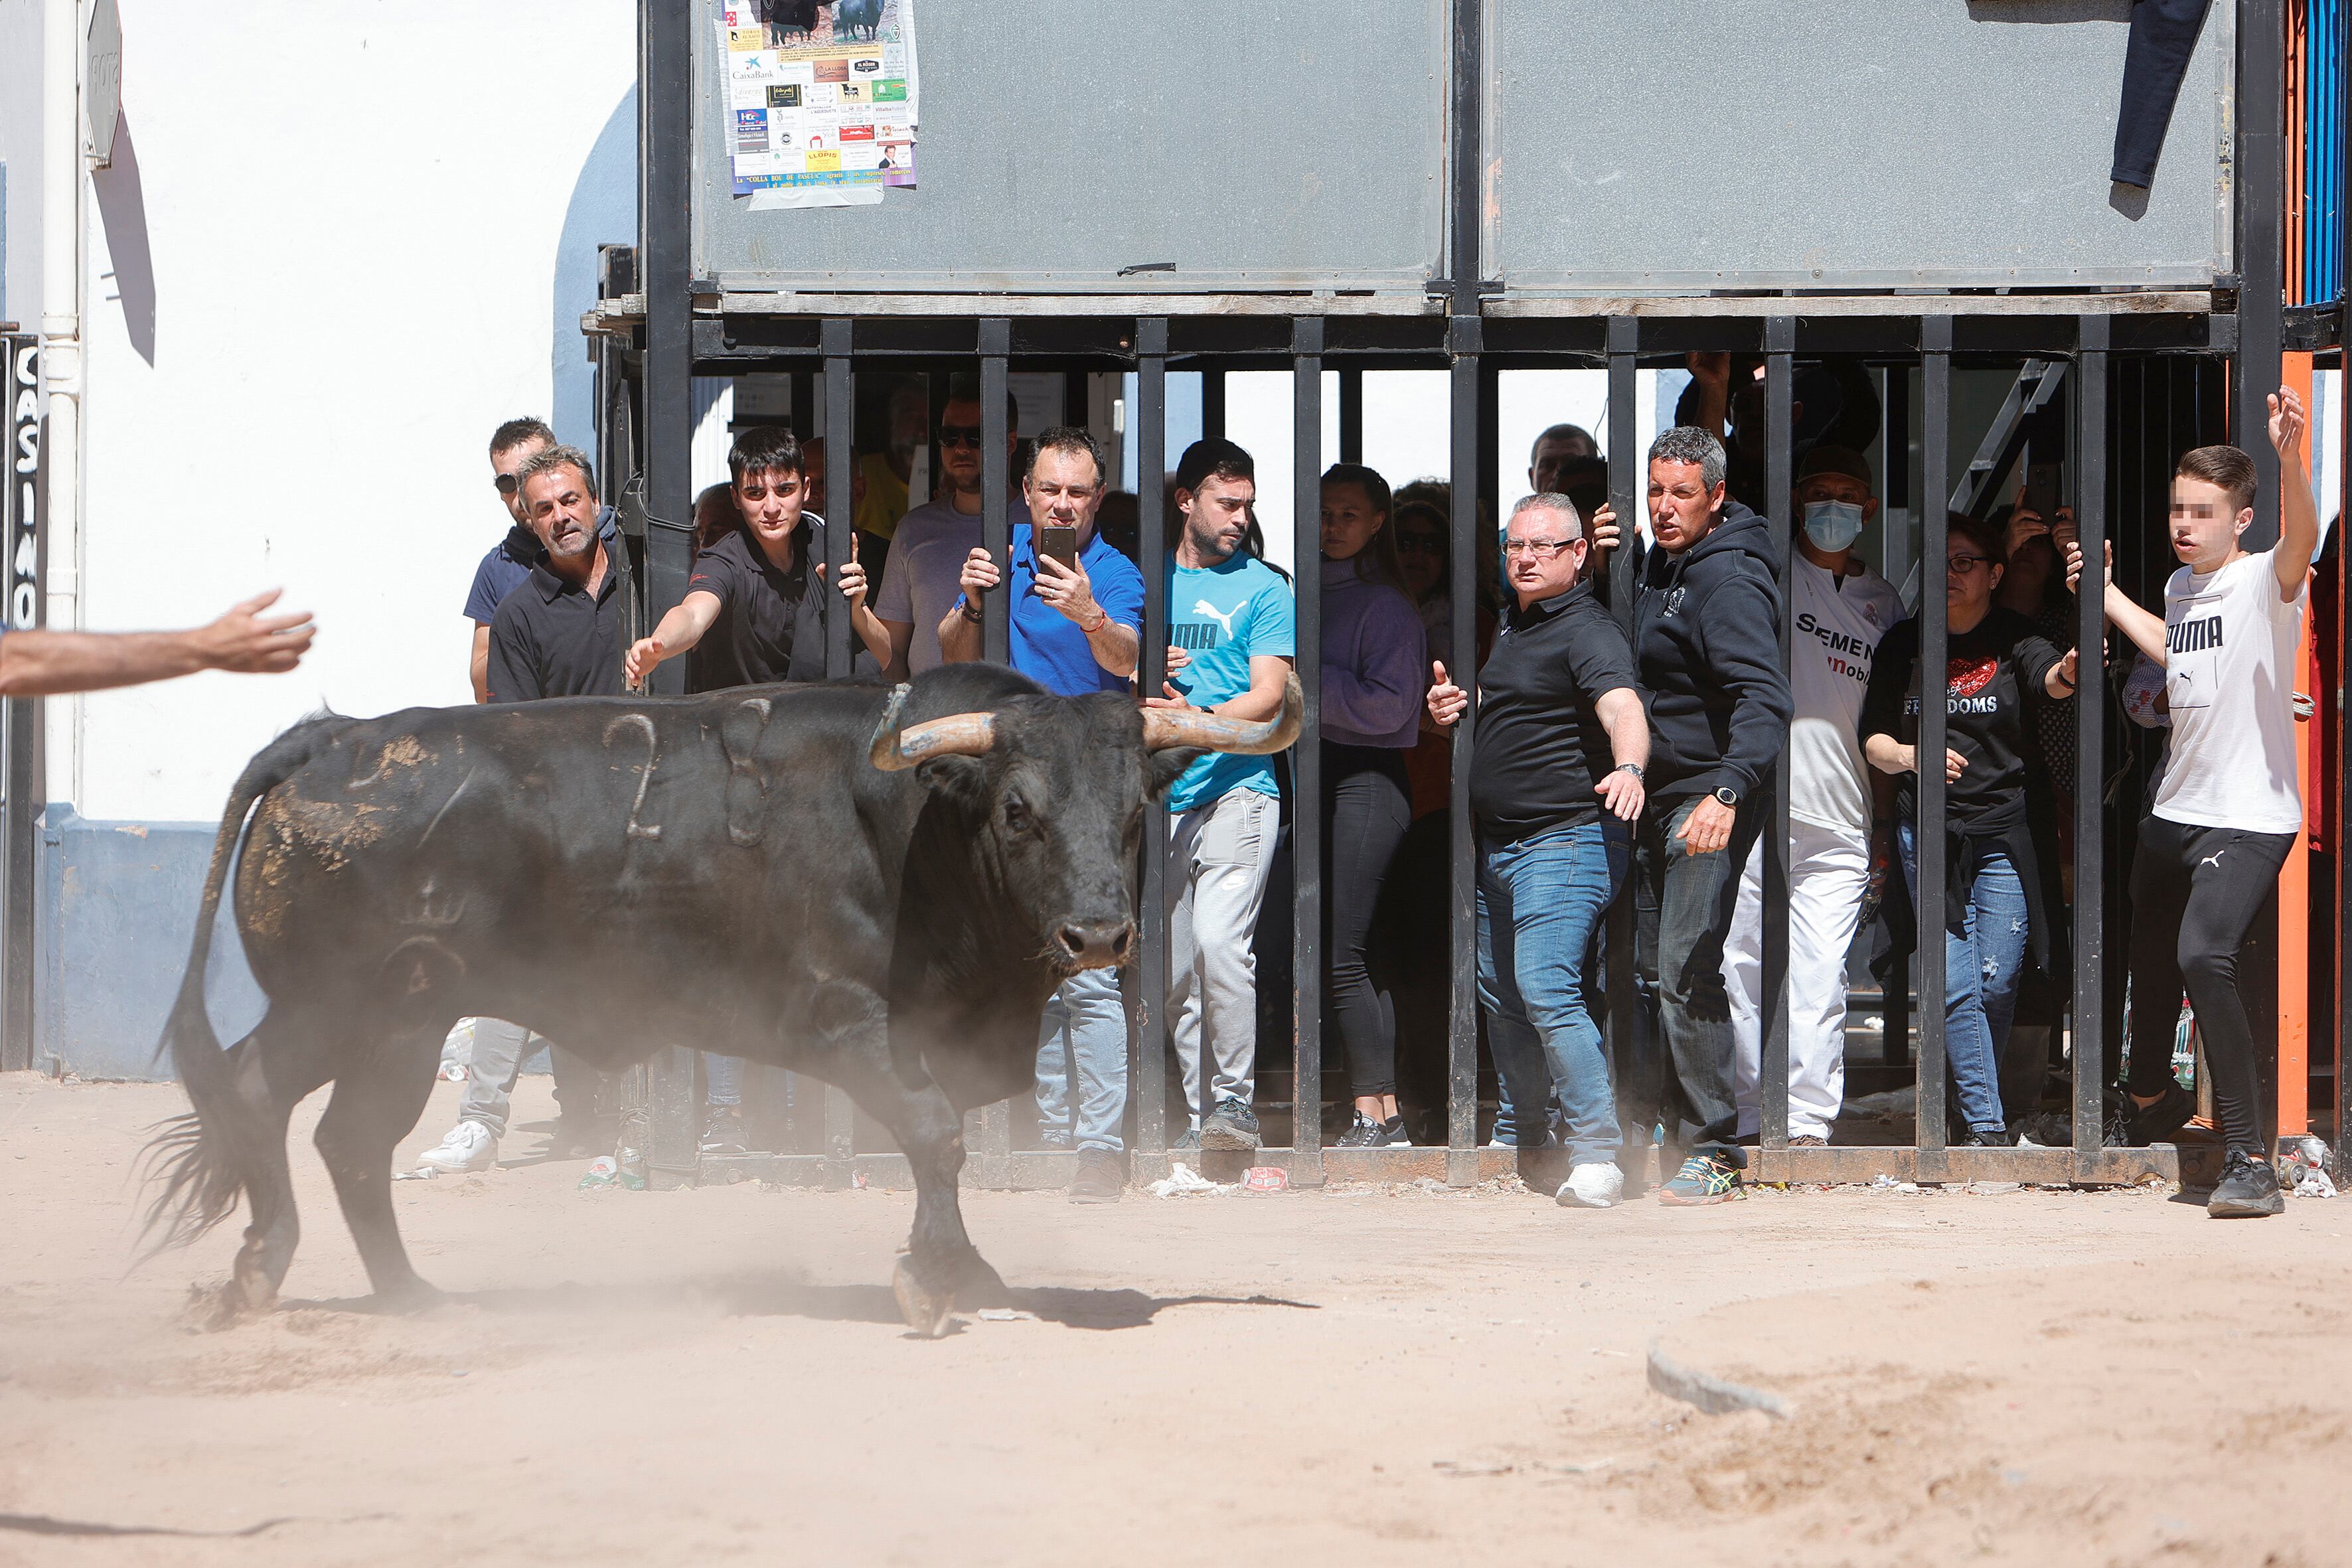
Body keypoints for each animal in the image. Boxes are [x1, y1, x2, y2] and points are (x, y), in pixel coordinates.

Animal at [142, 663, 1307, 1335]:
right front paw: (932, 1281)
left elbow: (941, 1146)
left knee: (330, 1130)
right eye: (1018, 808)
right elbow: (934, 1135)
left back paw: (384, 1292)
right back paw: (286, 1275)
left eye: (1132, 811)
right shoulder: (848, 1023)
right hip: (346, 1009)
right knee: (278, 1104)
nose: (1098, 935)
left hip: (394, 1019)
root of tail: (331, 738)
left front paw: (964, 1268)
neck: (921, 819)